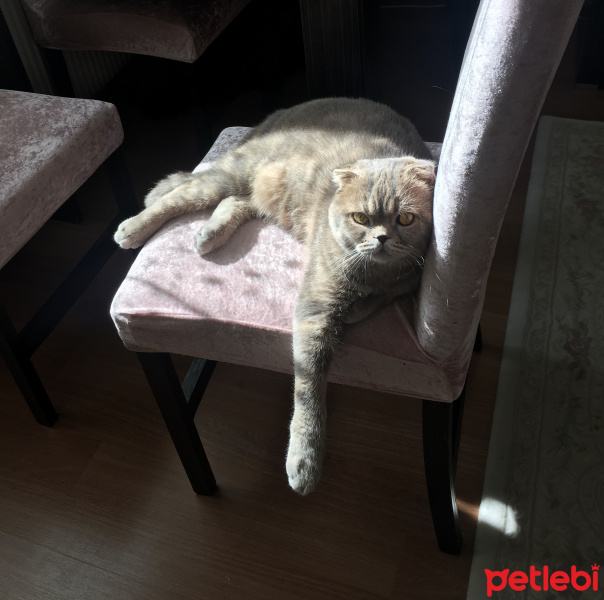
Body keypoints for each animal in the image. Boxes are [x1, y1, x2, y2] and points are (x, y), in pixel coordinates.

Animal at [114, 96, 434, 494]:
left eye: (405, 219)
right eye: (360, 217)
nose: (381, 239)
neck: (376, 271)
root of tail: (282, 113)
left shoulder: (404, 280)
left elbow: (381, 296)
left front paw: (358, 306)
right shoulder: (315, 306)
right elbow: (309, 388)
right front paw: (305, 459)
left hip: (264, 191)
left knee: (235, 201)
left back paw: (209, 234)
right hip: (234, 174)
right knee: (180, 194)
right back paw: (134, 227)